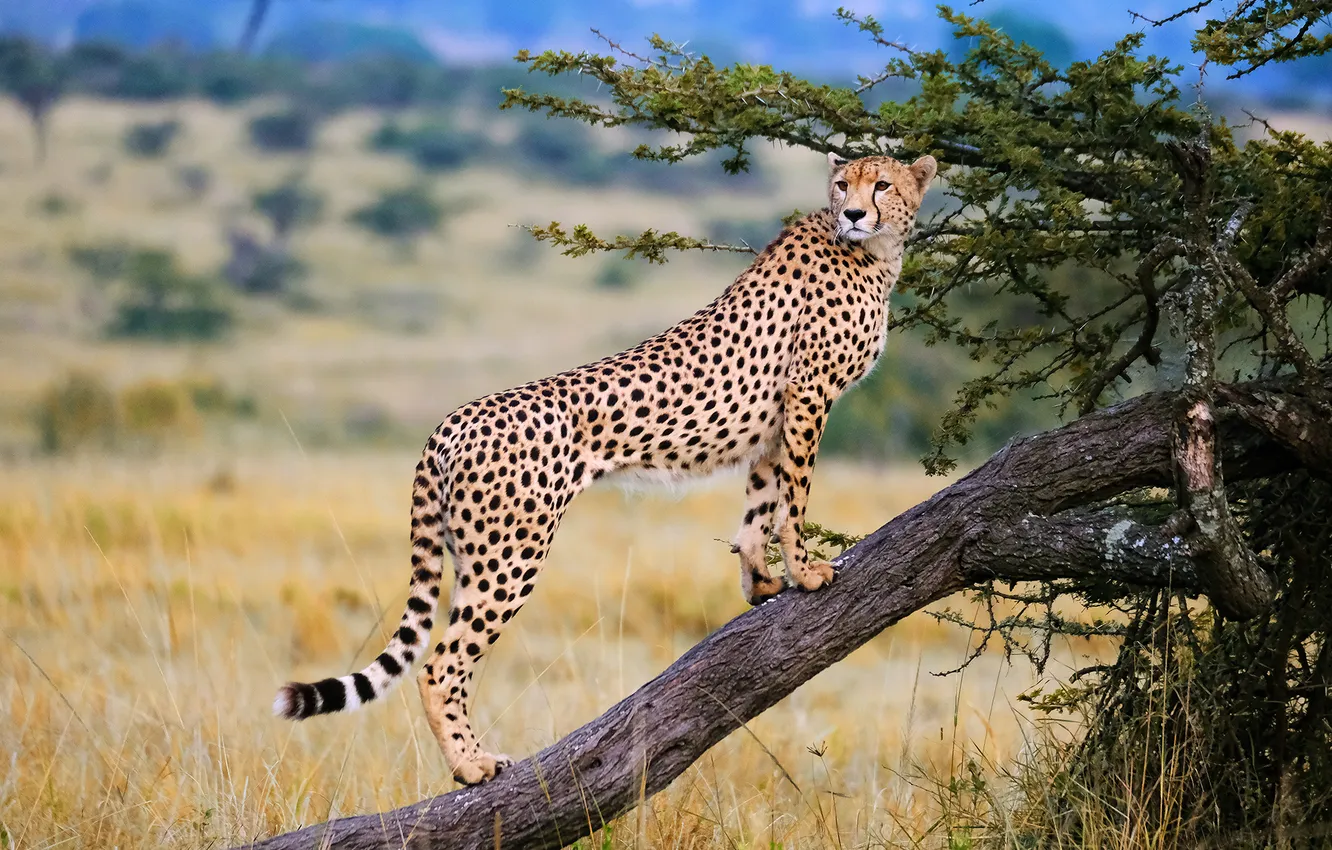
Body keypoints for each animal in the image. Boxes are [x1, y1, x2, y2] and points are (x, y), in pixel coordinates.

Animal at [272, 151, 938, 786]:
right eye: (844, 185)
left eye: (881, 185)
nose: (853, 213)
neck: (872, 252)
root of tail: (452, 419)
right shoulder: (808, 396)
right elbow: (794, 496)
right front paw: (807, 571)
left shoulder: (773, 418)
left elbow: (760, 502)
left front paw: (761, 580)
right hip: (510, 555)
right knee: (440, 665)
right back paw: (471, 765)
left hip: (471, 554)